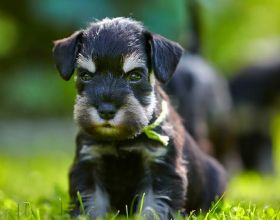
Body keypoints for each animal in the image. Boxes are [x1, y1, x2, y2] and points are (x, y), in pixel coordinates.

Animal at [52, 17, 228, 220]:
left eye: (135, 75)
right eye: (85, 75)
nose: (106, 110)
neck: (122, 139)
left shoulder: (160, 167)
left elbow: (154, 205)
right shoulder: (89, 163)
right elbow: (91, 203)